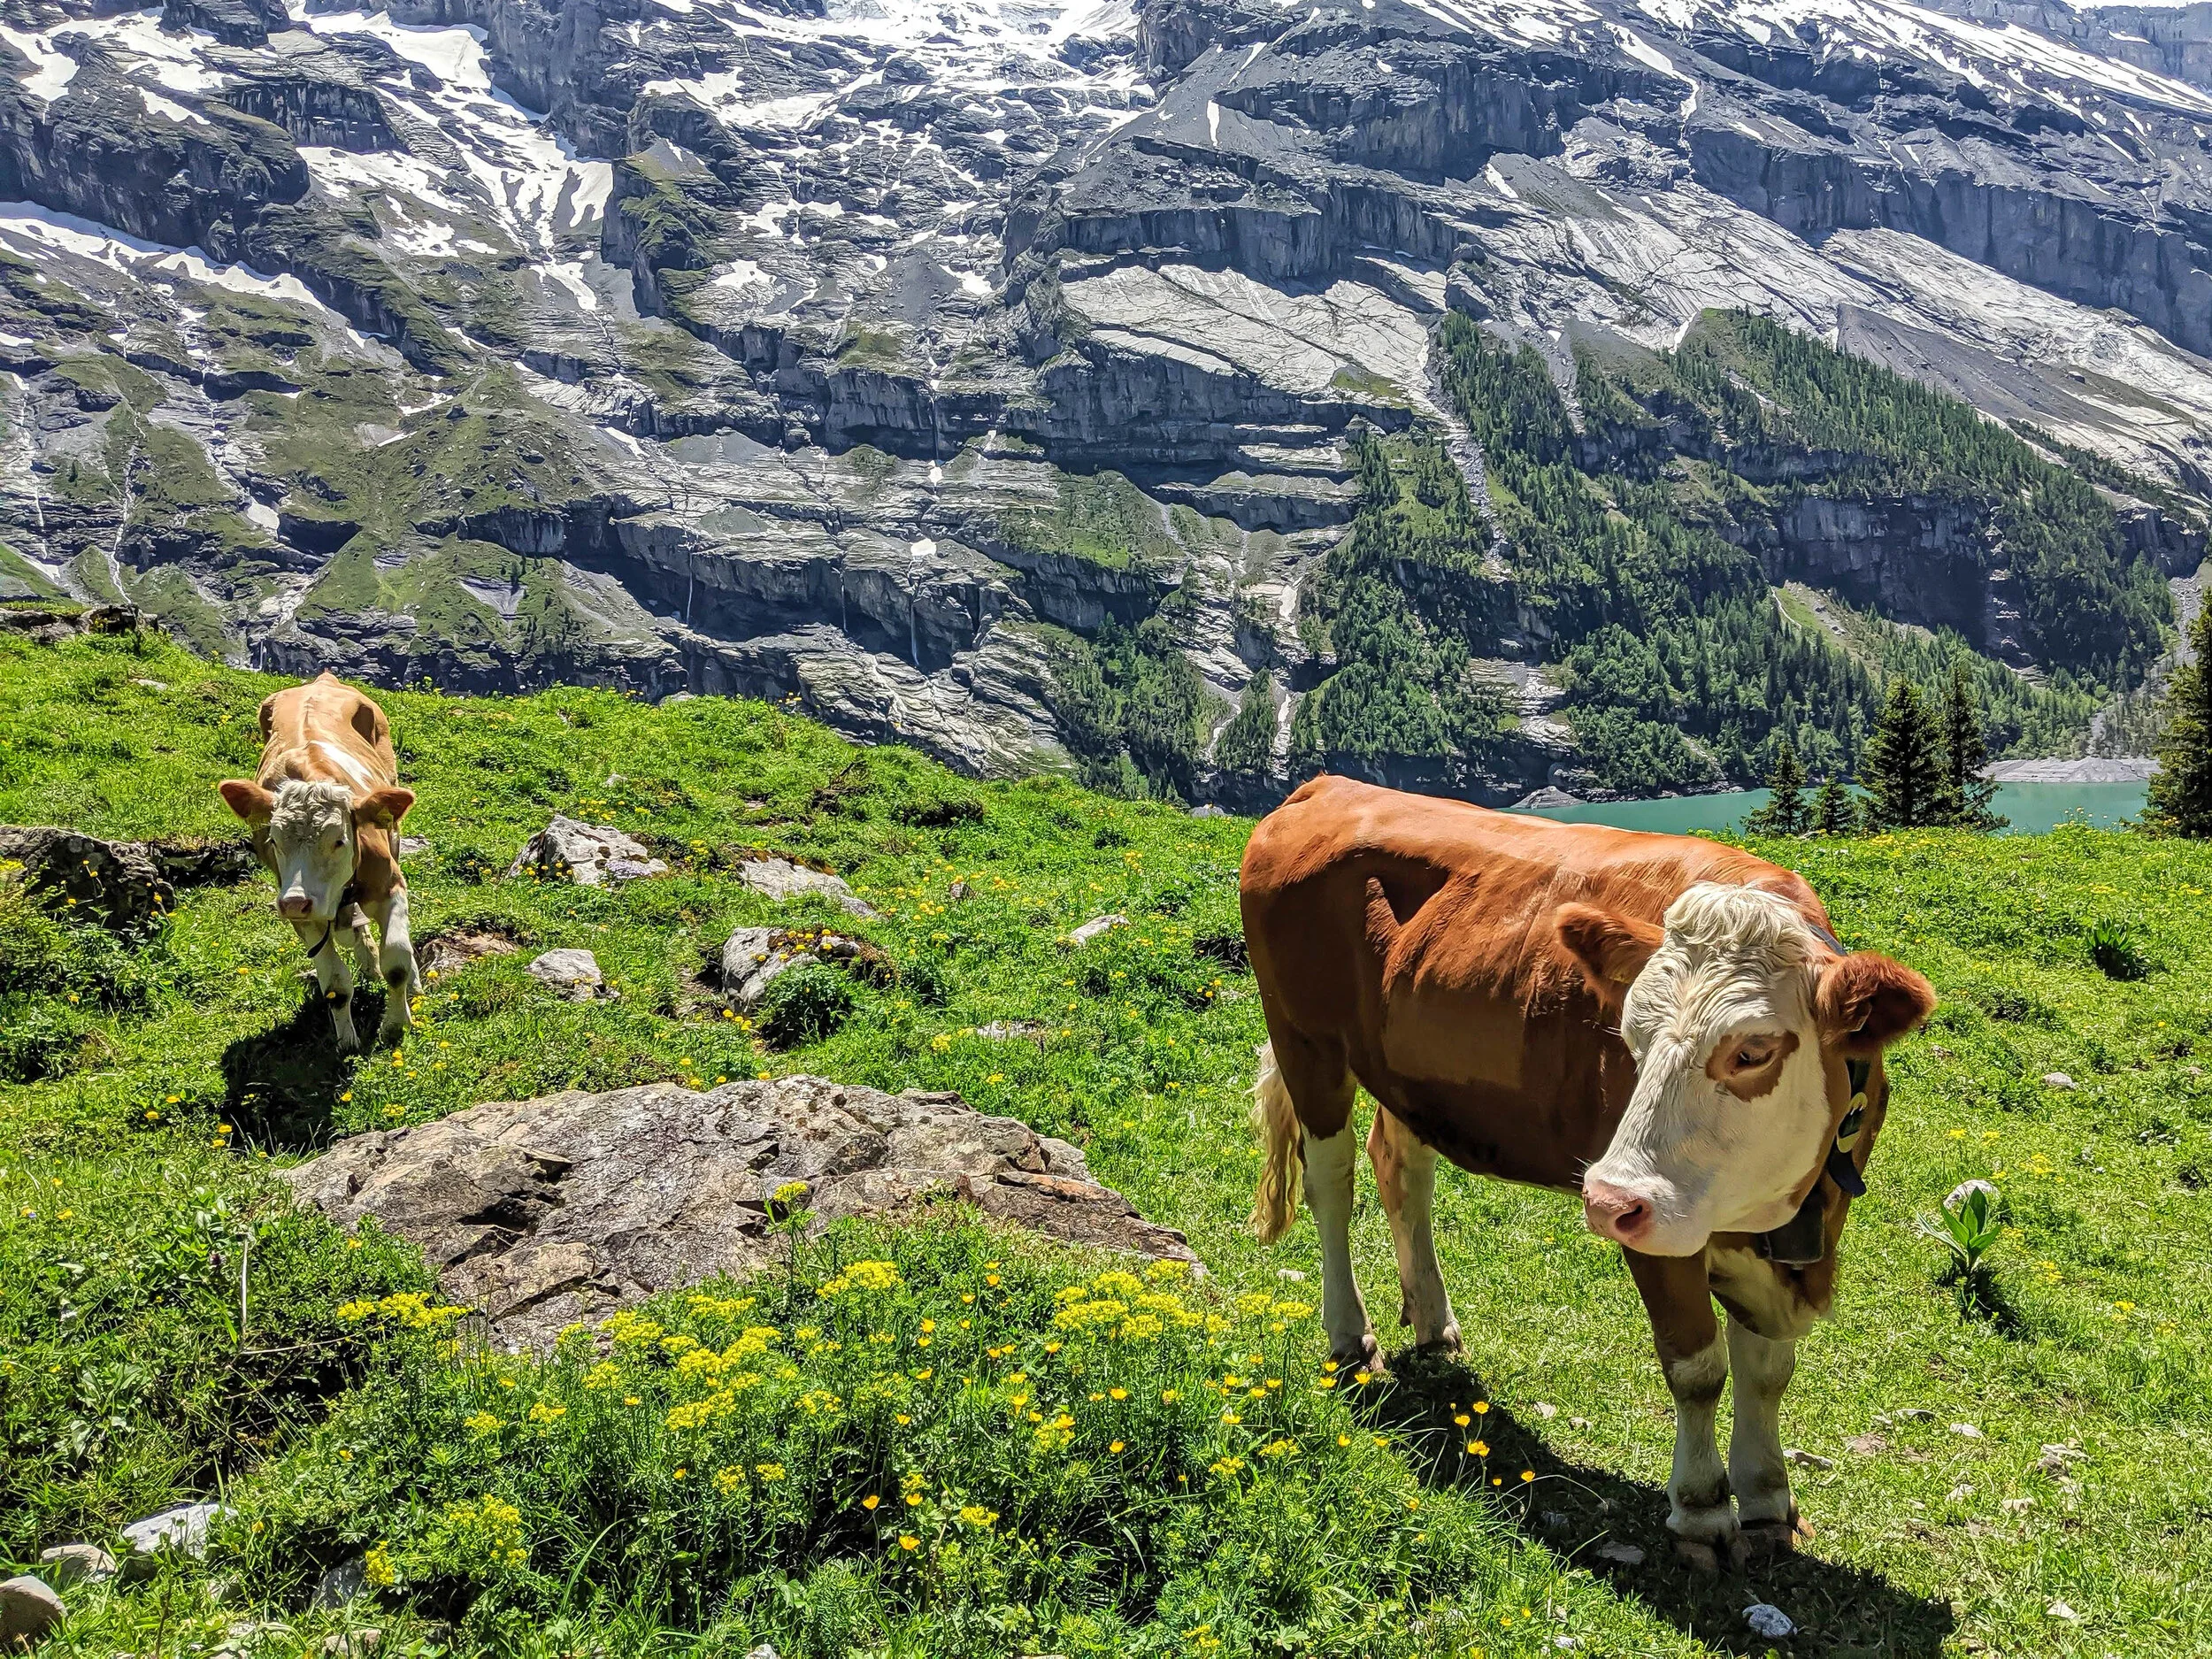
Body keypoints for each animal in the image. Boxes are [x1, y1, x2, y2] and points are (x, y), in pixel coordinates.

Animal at [217, 672, 420, 1053]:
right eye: (274, 841)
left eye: (339, 840)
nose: (294, 902)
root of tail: (321, 681)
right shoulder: (305, 917)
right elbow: (336, 986)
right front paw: (346, 1042)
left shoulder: (390, 884)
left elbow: (397, 960)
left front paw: (396, 1025)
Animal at [1242, 775, 1934, 1569]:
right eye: (1629, 1034)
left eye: (1753, 1050)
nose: (1604, 1198)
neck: (1783, 1208)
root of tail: (1325, 786)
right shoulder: (1659, 1230)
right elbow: (1697, 1365)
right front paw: (1702, 1507)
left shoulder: (1798, 1235)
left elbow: (1768, 1369)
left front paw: (1766, 1499)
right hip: (1304, 1039)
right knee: (1332, 1180)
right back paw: (1350, 1336)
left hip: (1406, 1072)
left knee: (1401, 1170)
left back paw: (1434, 1321)